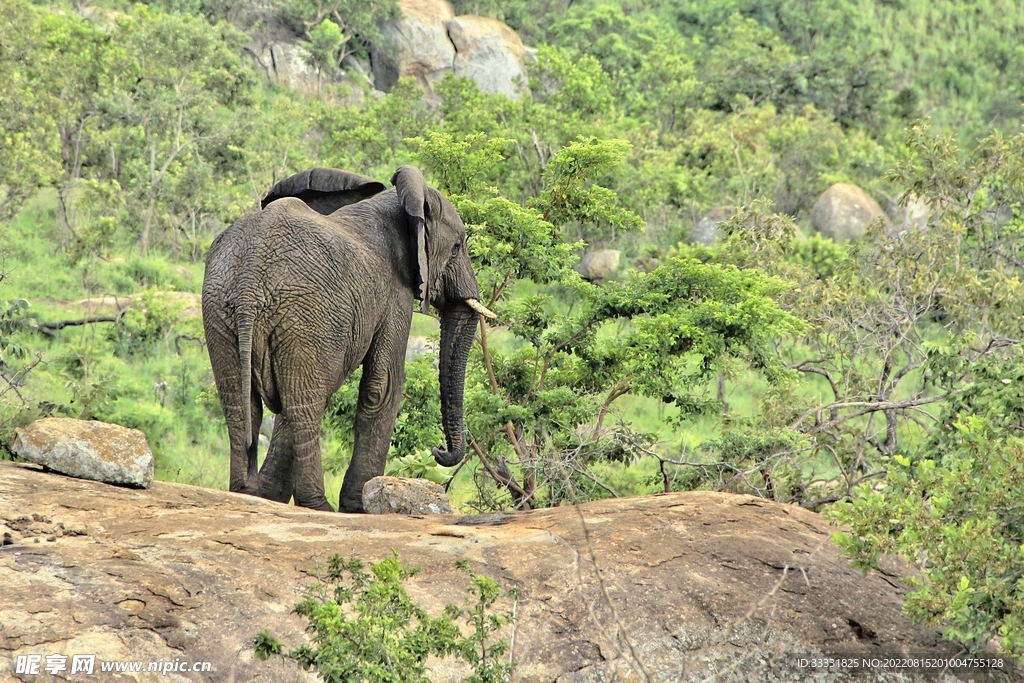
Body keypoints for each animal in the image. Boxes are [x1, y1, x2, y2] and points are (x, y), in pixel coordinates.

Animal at [201, 166, 495, 512]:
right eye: (457, 246)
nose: (438, 450)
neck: (399, 204)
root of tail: (250, 280)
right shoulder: (395, 292)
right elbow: (383, 386)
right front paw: (357, 507)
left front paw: (270, 494)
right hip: (306, 316)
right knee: (305, 406)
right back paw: (318, 506)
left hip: (222, 310)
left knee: (242, 404)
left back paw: (245, 491)